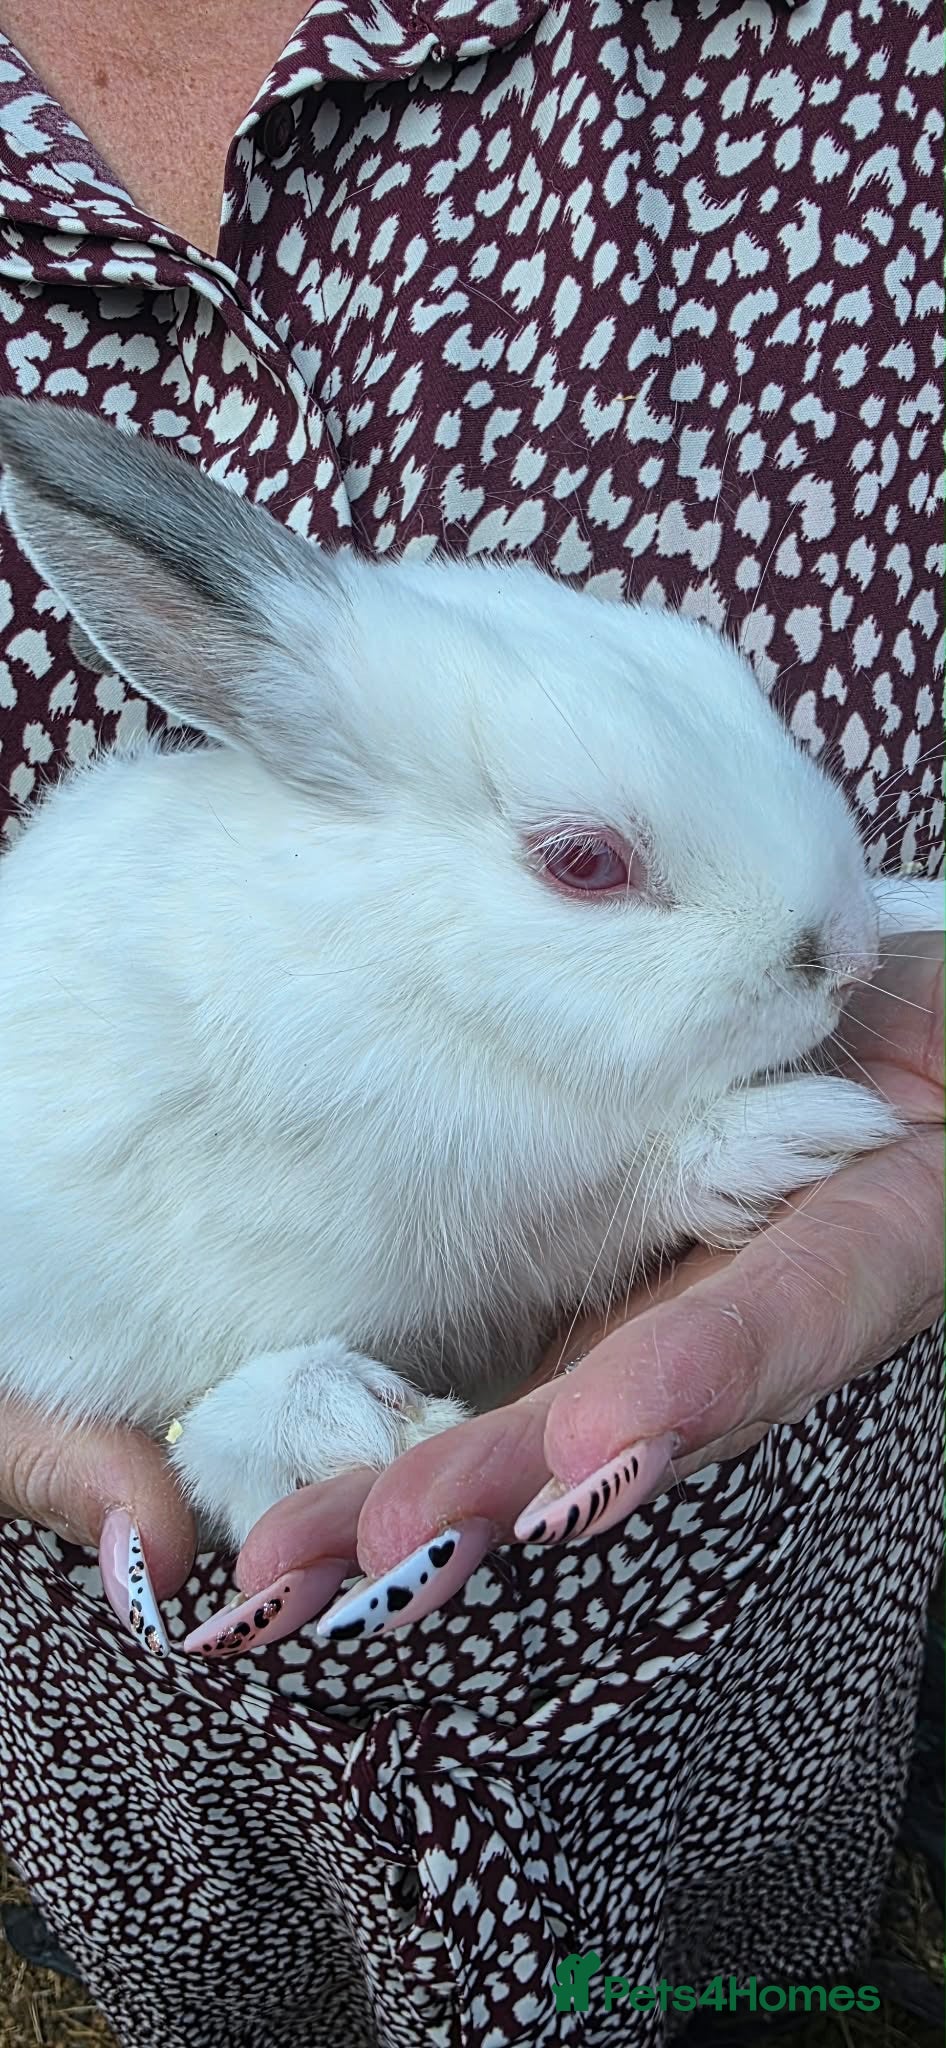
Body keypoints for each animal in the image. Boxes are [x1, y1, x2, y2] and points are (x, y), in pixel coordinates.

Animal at [0, 398, 939, 1550]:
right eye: (584, 863)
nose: (846, 956)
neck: (404, 960)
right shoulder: (482, 1217)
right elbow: (626, 1192)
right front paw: (789, 1133)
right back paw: (350, 1423)